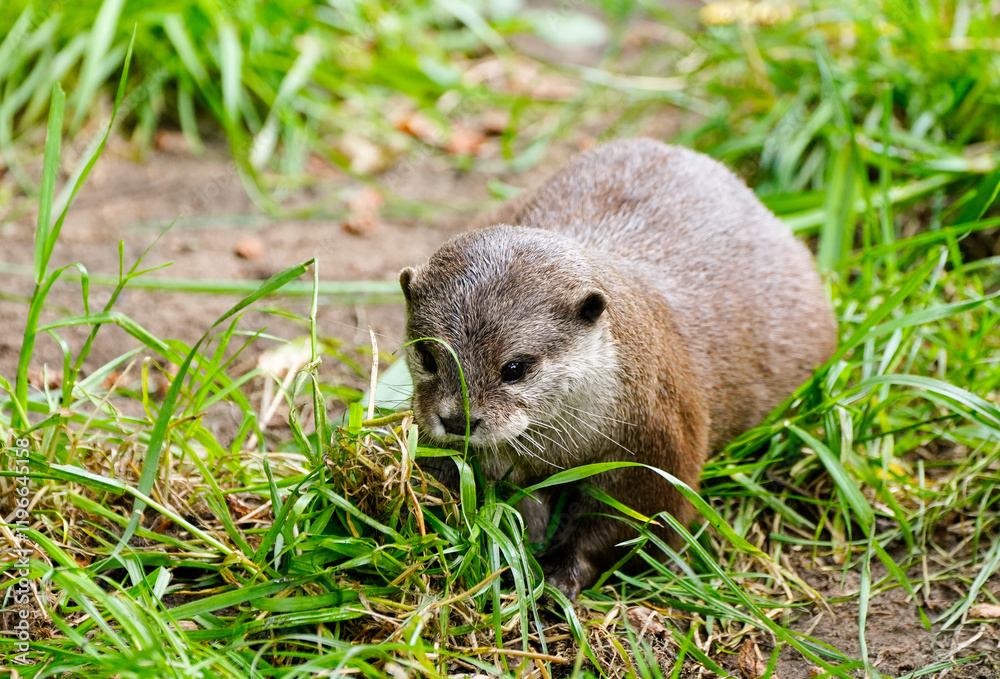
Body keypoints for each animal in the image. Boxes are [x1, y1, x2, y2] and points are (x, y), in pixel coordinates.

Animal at [398, 138, 837, 599]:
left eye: (514, 367)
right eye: (427, 356)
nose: (457, 420)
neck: (568, 449)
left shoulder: (657, 446)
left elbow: (631, 525)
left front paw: (560, 572)